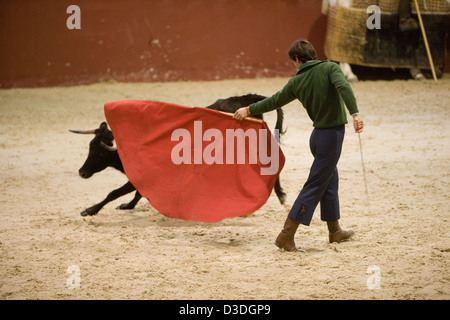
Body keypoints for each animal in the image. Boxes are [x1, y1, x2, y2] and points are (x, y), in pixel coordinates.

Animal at [71, 94, 284, 216]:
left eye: (100, 153)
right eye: (89, 146)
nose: (81, 172)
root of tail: (247, 102)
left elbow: (115, 192)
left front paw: (90, 210)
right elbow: (138, 192)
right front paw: (128, 206)